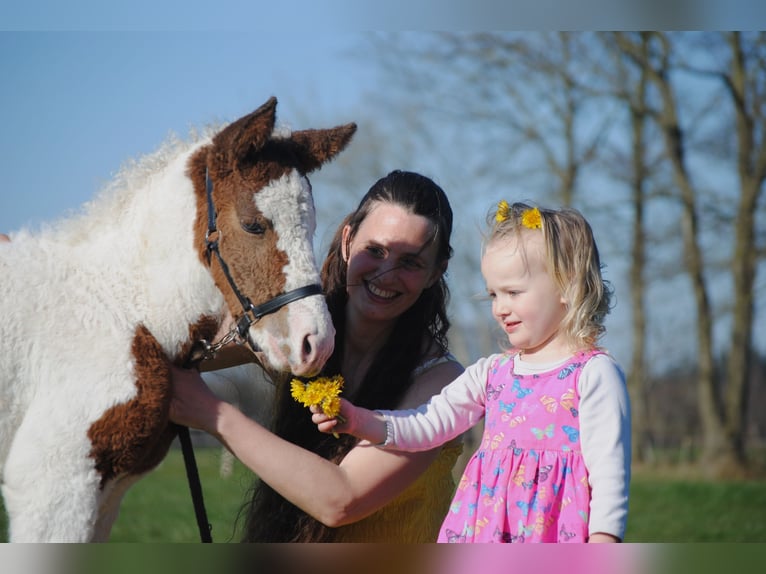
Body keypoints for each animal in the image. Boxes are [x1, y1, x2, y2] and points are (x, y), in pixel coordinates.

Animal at [0, 97, 356, 542]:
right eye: (253, 224)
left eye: (311, 226)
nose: (315, 343)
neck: (119, 307)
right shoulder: (53, 485)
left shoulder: (104, 496)